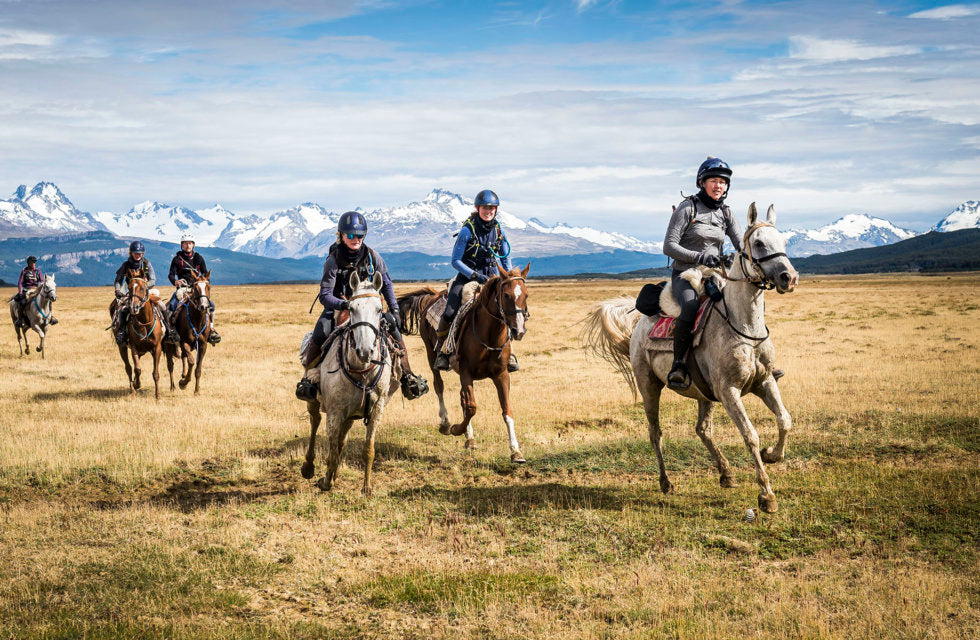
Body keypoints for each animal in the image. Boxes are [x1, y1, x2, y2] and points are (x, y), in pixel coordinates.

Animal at [109, 270, 174, 400]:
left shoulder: (157, 348)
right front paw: (137, 384)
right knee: (129, 368)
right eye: (129, 288)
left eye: (143, 288)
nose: (134, 307)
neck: (144, 322)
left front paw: (158, 395)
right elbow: (137, 369)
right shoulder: (134, 348)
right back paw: (132, 390)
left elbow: (155, 373)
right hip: (122, 347)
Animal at [302, 268, 402, 496]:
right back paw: (309, 467)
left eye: (379, 309)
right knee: (314, 423)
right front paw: (326, 482)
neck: (361, 371)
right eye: (352, 308)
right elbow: (331, 452)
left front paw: (367, 488)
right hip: (314, 401)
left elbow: (368, 450)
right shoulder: (334, 413)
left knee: (342, 440)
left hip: (350, 415)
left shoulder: (376, 411)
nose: (365, 351)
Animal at [398, 262, 532, 462]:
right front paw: (457, 429)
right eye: (506, 295)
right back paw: (446, 424)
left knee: (462, 398)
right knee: (439, 386)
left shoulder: (501, 375)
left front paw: (515, 451)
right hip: (431, 355)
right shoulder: (467, 373)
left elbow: (506, 410)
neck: (489, 337)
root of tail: (432, 295)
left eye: (526, 295)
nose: (519, 330)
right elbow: (471, 408)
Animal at [580, 202, 796, 512]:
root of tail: (639, 324)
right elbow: (750, 435)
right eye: (757, 243)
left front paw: (772, 455)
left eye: (784, 242)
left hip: (706, 394)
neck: (743, 326)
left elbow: (784, 420)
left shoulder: (764, 382)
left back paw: (726, 474)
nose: (788, 278)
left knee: (703, 430)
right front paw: (767, 495)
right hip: (649, 386)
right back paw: (666, 482)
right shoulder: (729, 391)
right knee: (655, 433)